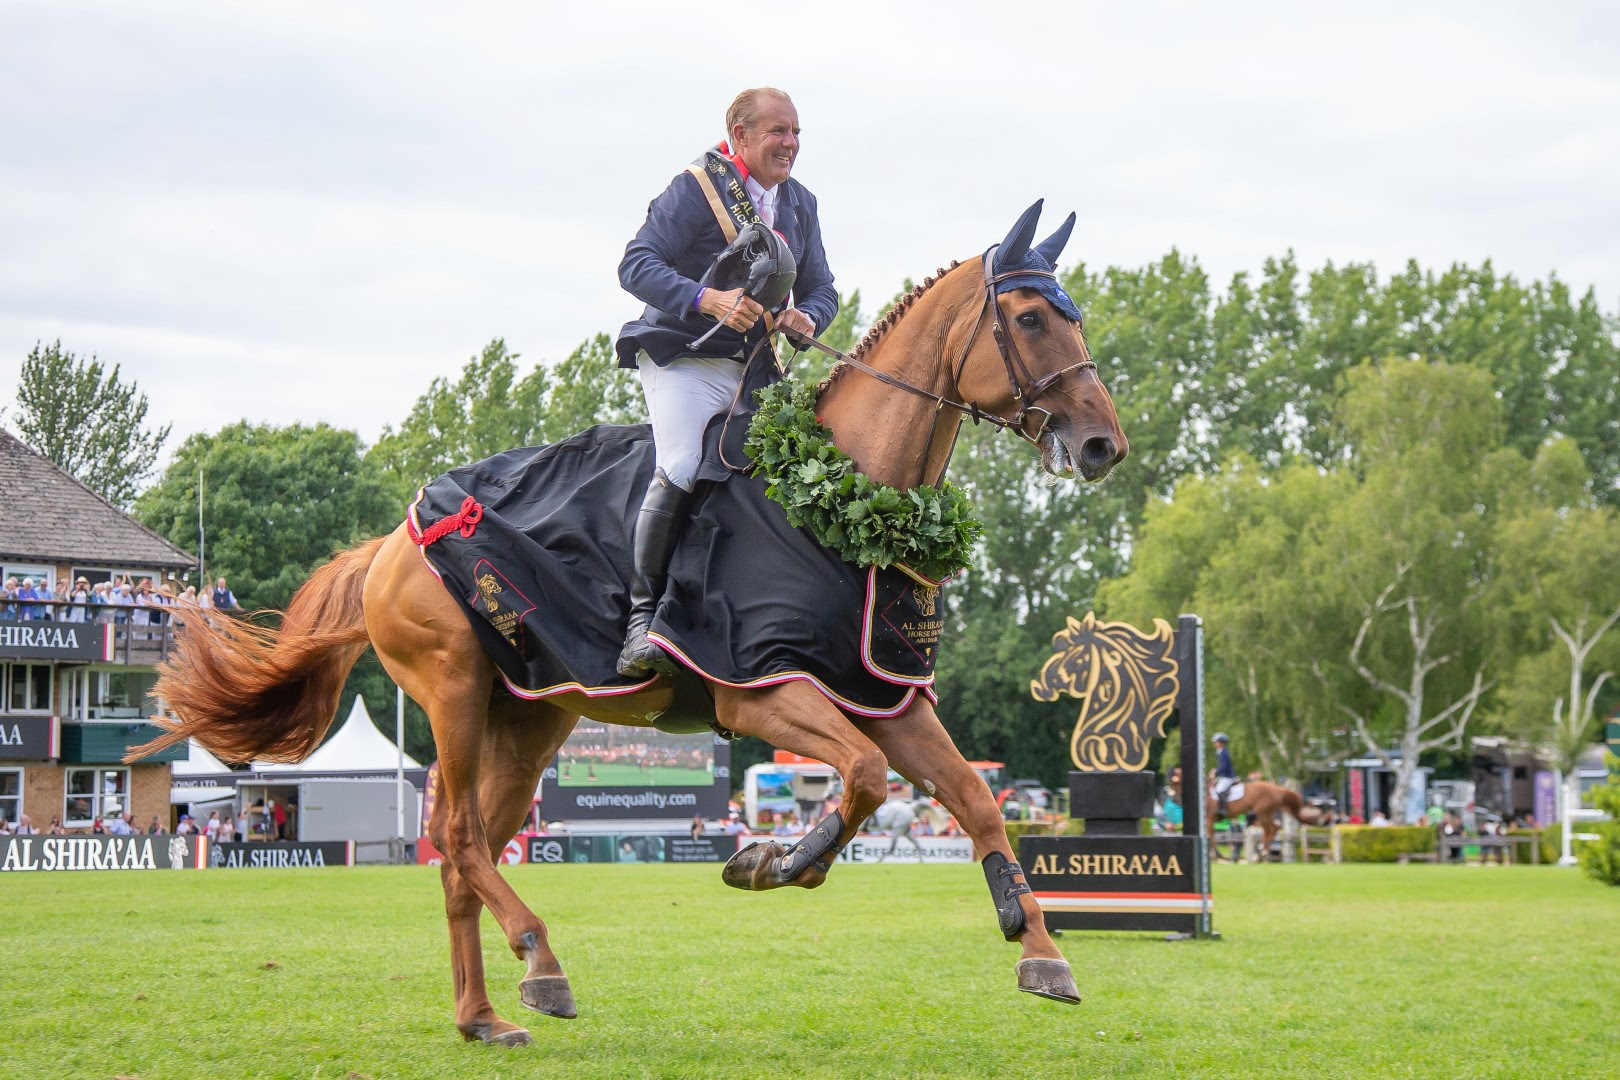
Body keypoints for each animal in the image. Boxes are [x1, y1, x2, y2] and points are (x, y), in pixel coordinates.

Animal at [129, 204, 1127, 1049]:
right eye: (1030, 319)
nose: (1102, 446)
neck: (845, 506)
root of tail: (396, 537)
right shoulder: (759, 692)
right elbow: (864, 780)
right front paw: (774, 860)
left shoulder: (886, 697)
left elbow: (972, 802)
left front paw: (1041, 949)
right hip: (452, 690)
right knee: (455, 835)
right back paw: (541, 957)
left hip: (528, 717)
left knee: (465, 853)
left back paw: (488, 1014)